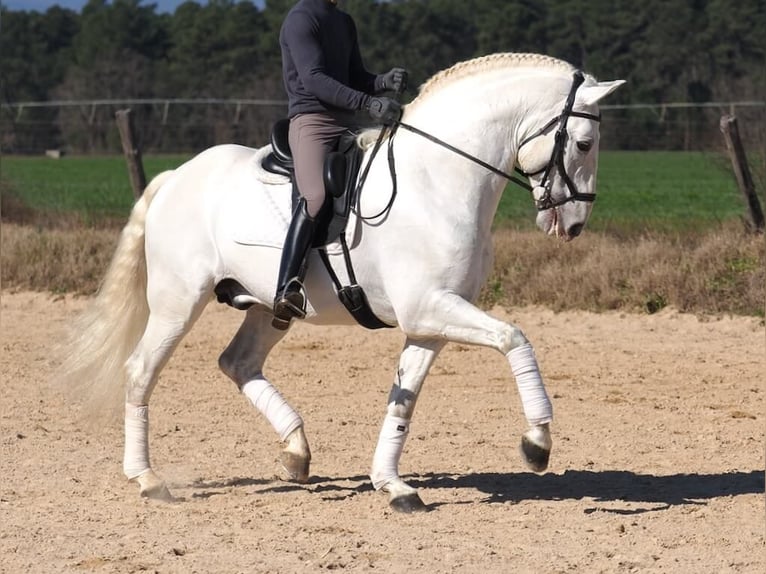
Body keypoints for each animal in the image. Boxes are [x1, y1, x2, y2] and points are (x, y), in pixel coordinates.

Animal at [60, 54, 624, 512]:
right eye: (584, 142)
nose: (574, 224)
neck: (438, 181)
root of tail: (176, 176)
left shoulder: (431, 321)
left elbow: (403, 400)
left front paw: (393, 486)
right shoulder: (431, 308)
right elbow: (516, 339)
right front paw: (537, 442)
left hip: (267, 307)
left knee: (237, 362)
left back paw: (295, 452)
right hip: (179, 303)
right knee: (141, 371)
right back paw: (148, 480)